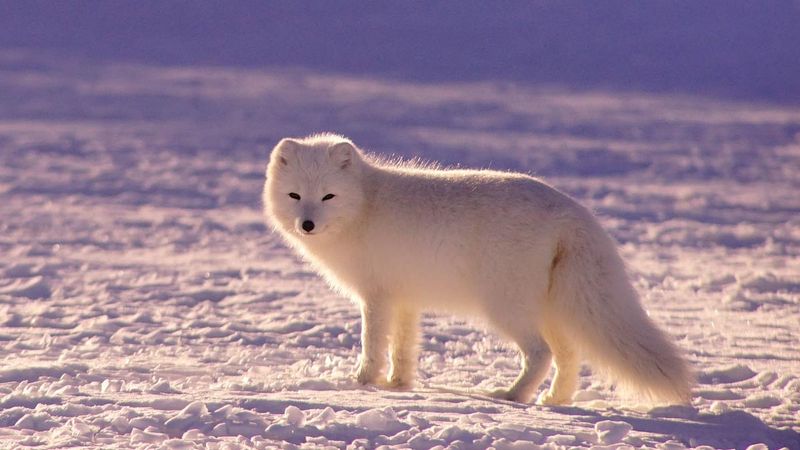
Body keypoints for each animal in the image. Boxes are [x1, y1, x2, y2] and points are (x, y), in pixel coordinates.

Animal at [262, 133, 692, 404]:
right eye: (295, 195)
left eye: (328, 196)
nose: (307, 224)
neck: (365, 205)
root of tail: (573, 211)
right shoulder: (405, 298)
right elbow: (403, 347)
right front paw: (399, 385)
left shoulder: (377, 297)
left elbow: (372, 343)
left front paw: (362, 382)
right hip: (550, 309)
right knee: (569, 356)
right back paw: (555, 400)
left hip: (505, 307)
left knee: (541, 353)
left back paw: (513, 396)